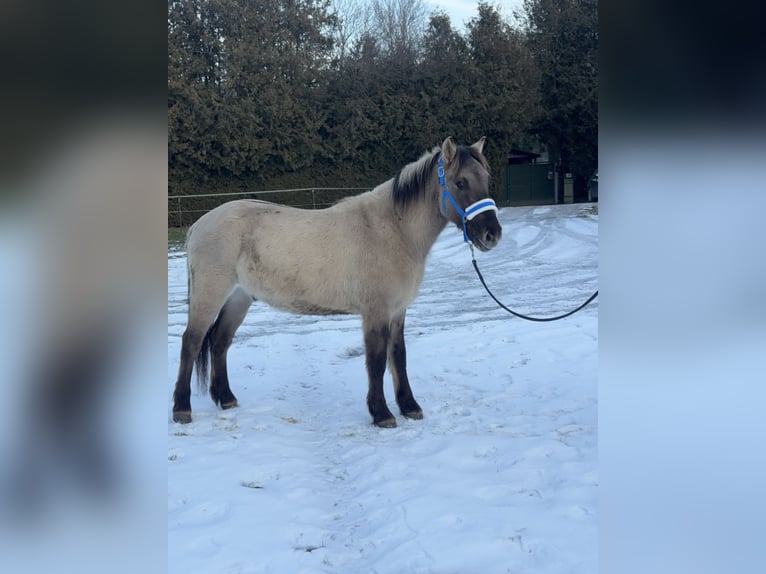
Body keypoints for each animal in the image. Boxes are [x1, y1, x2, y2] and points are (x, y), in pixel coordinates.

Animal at [172, 136, 502, 427]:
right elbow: (376, 361)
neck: (392, 230)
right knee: (191, 342)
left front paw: (410, 407)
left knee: (220, 341)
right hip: (210, 295)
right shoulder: (376, 312)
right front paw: (382, 414)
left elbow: (399, 356)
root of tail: (199, 225)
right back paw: (181, 410)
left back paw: (226, 398)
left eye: (486, 179)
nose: (492, 235)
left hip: (239, 298)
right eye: (460, 182)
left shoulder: (398, 310)